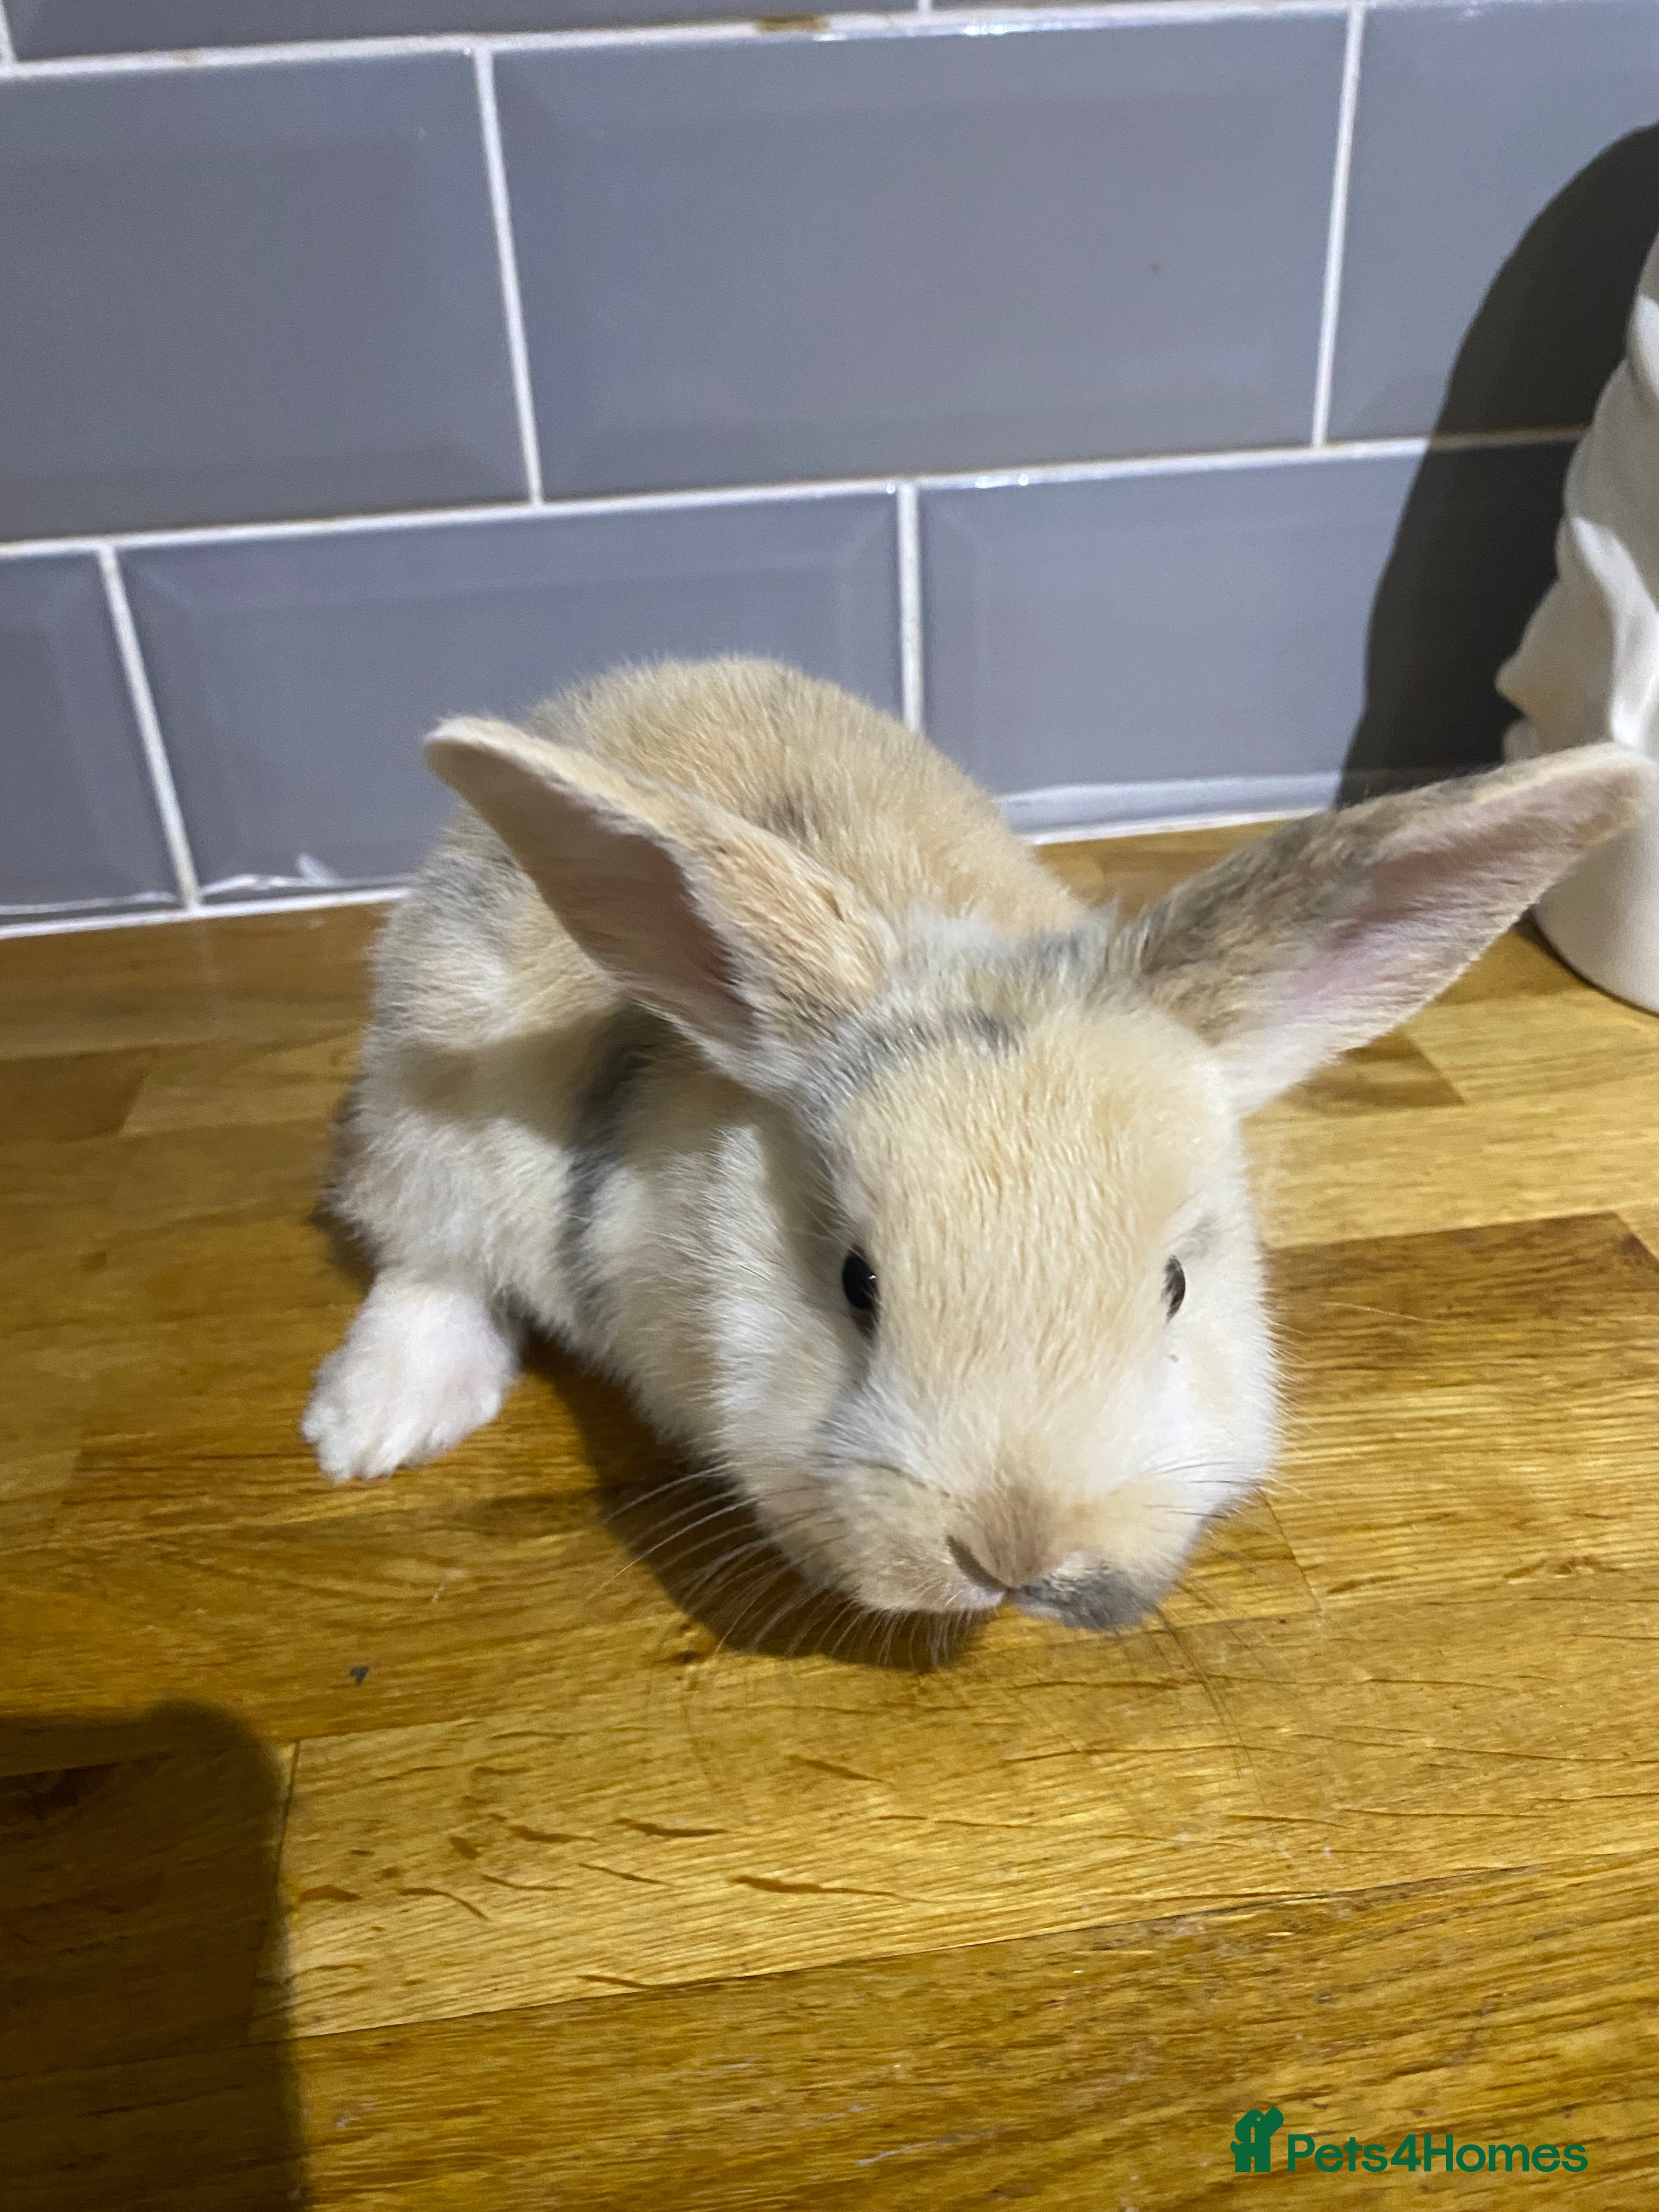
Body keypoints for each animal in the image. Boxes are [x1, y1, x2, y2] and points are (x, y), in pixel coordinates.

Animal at [302, 656, 1651, 1630]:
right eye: (856, 1284)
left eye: (1173, 1286)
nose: (1011, 1549)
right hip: (431, 1104)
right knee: (430, 1258)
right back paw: (373, 1427)